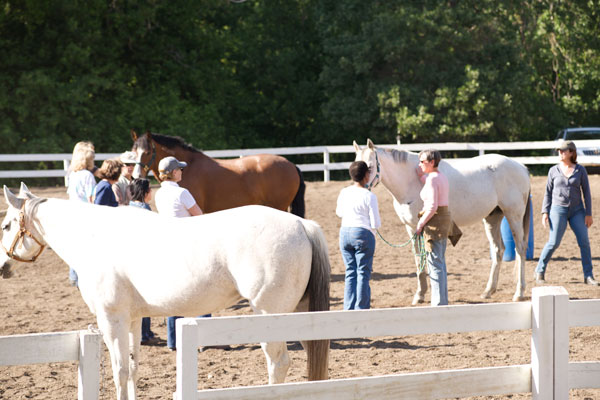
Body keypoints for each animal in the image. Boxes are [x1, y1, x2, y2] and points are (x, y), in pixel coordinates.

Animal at [0, 184, 330, 400]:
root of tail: (302, 224)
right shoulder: (132, 320)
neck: (95, 238)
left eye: (5, 225)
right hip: (302, 315)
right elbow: (133, 368)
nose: (3, 265)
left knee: (278, 363)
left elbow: (120, 371)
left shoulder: (111, 320)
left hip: (269, 316)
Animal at [354, 141, 532, 304]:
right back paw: (488, 291)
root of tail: (521, 167)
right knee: (498, 250)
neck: (410, 180)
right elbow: (418, 260)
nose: (359, 187)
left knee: (520, 249)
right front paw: (419, 295)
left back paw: (519, 293)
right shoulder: (411, 229)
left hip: (514, 216)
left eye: (370, 166)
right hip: (492, 218)